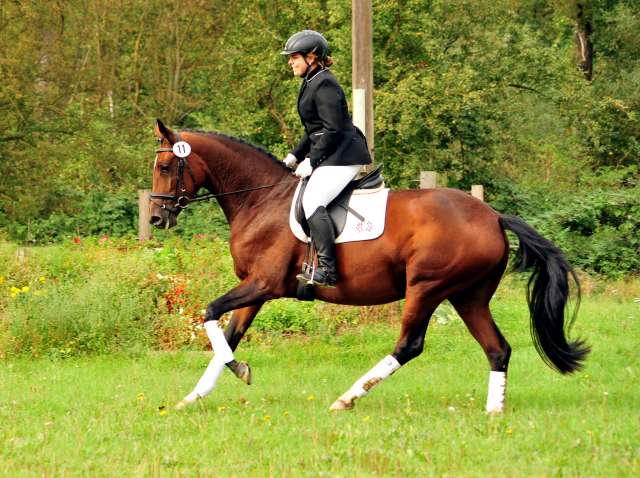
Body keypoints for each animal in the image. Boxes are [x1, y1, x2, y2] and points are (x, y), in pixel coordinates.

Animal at [150, 119, 592, 410]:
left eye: (166, 167)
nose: (156, 219)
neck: (261, 200)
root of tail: (493, 216)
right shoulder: (255, 289)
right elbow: (229, 334)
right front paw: (195, 395)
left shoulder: (264, 284)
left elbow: (210, 313)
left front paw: (235, 372)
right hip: (468, 296)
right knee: (498, 349)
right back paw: (493, 414)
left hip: (426, 288)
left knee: (410, 344)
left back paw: (346, 399)